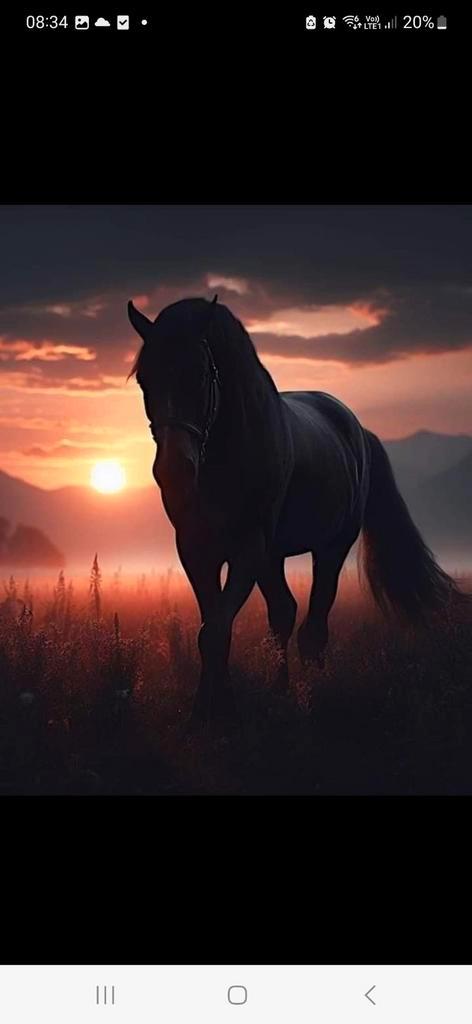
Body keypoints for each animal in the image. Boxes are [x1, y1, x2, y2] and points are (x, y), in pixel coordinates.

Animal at [128, 295, 468, 723]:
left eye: (202, 375)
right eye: (145, 380)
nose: (174, 469)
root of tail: (358, 429)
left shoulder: (248, 549)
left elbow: (217, 629)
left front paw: (218, 713)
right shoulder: (196, 550)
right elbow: (212, 627)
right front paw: (210, 710)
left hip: (331, 548)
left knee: (314, 625)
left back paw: (311, 692)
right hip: (273, 557)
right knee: (283, 614)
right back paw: (280, 690)